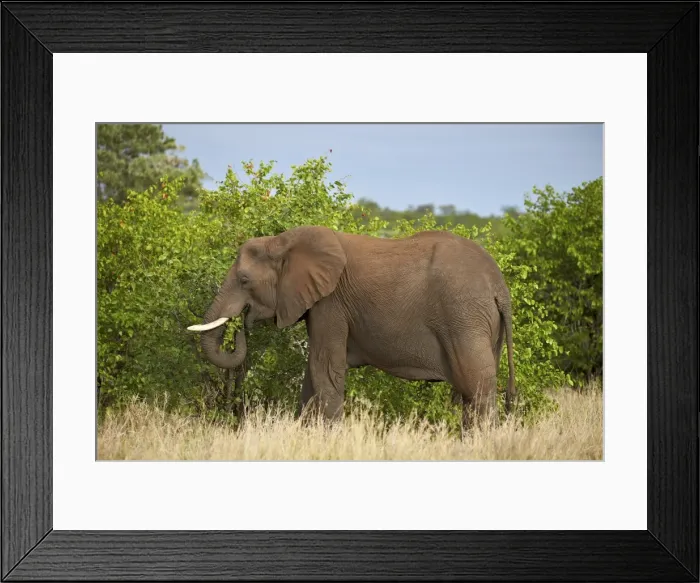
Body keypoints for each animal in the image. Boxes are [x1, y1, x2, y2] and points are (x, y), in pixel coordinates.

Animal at [188, 225, 516, 432]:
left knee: (476, 387)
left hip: (464, 317)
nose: (241, 326)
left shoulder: (330, 304)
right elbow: (313, 374)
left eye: (244, 280)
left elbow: (324, 369)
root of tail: (499, 286)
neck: (281, 241)